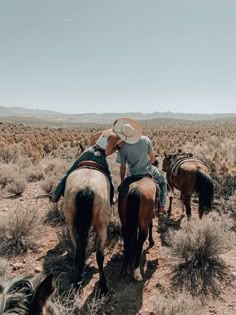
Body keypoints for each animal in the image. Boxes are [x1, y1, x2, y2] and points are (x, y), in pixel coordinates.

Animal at [63, 162, 112, 296]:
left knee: (79, 251)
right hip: (102, 227)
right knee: (99, 256)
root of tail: (86, 187)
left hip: (72, 226)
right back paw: (103, 286)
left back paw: (78, 282)